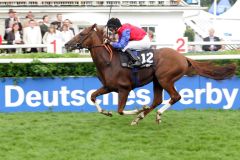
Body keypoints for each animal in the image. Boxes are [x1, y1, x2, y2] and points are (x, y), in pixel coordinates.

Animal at [64, 23, 237, 125]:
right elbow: (92, 96)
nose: (66, 44)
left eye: (81, 34)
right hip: (157, 81)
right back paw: (140, 117)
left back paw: (154, 114)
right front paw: (106, 112)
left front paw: (137, 109)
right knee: (158, 99)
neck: (109, 61)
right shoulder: (108, 87)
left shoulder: (124, 89)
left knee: (175, 97)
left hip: (165, 78)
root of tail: (183, 57)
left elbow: (120, 110)